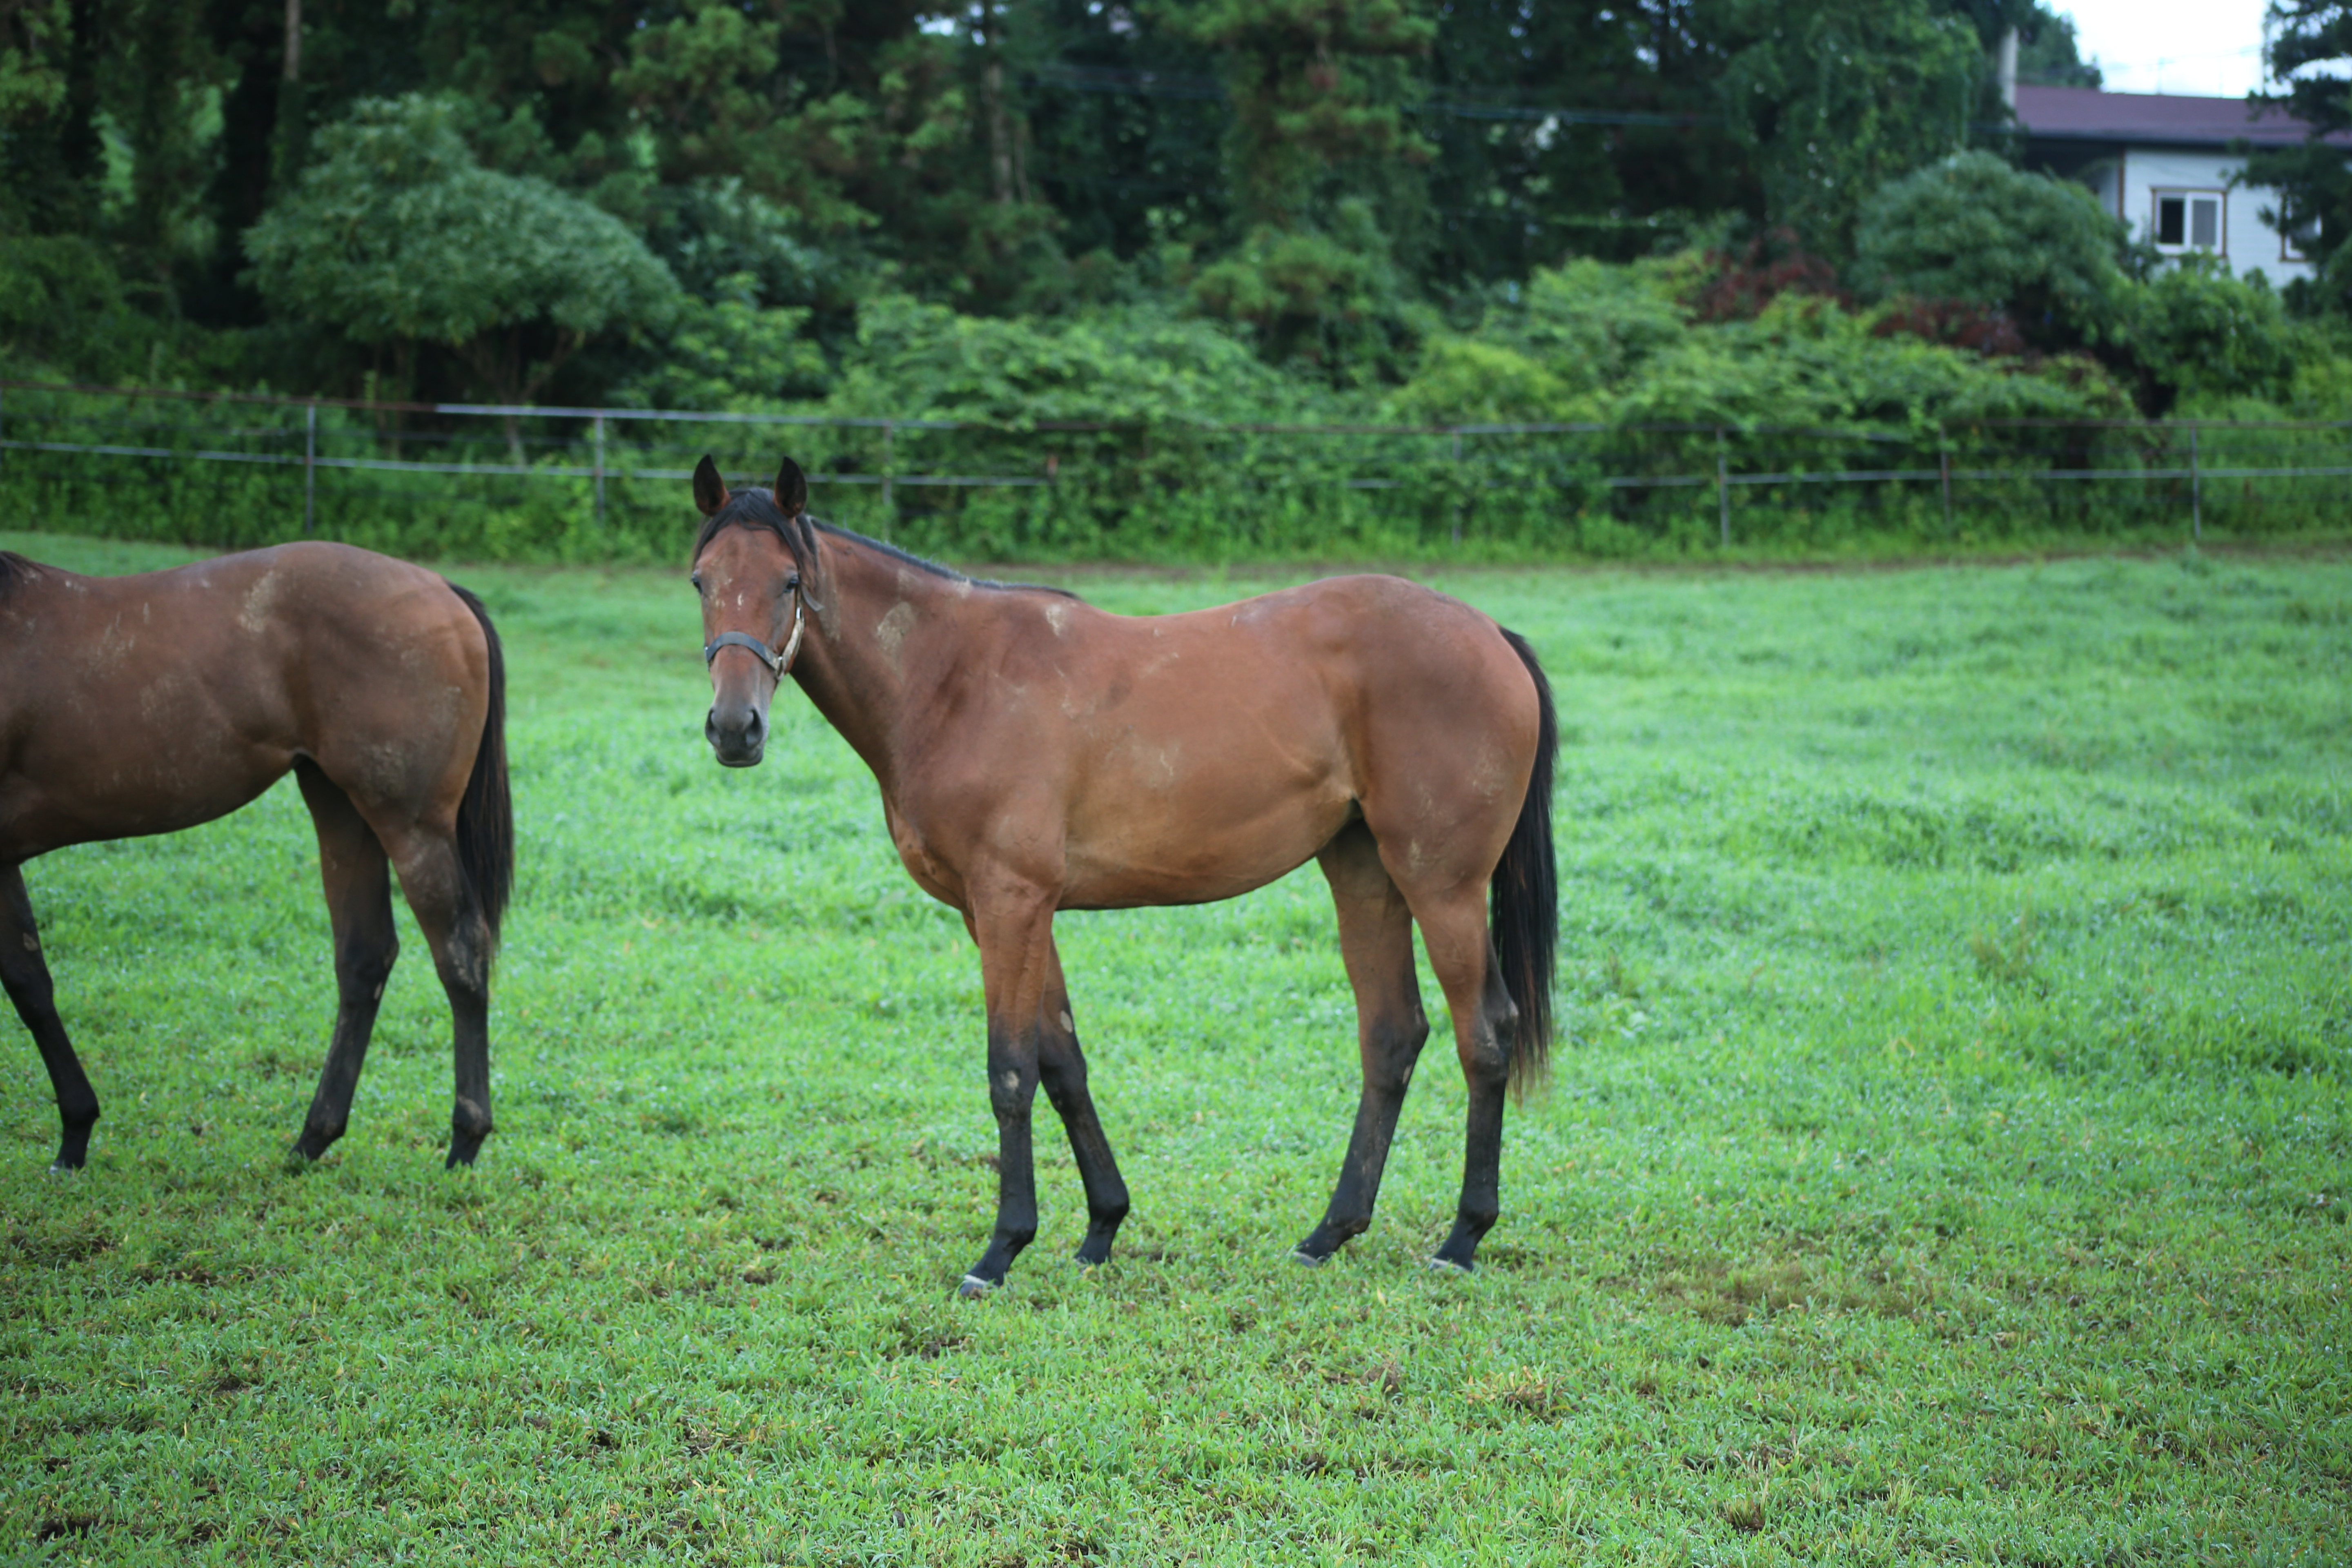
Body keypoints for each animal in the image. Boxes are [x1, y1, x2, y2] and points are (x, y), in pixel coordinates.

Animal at [1, 545, 515, 1171]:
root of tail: (442, 588)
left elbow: (28, 987)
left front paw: (75, 1134)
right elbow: (30, 983)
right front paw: (76, 1132)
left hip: (411, 827)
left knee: (460, 955)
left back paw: (464, 1138)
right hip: (342, 809)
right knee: (365, 958)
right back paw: (313, 1138)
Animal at [686, 461, 1561, 1297]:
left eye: (789, 582)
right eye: (701, 580)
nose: (735, 729)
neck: (954, 679)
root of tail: (1489, 632)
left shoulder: (1011, 905)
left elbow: (1011, 1071)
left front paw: (1000, 1251)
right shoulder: (1010, 910)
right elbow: (1062, 1065)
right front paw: (1101, 1227)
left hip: (1441, 885)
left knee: (1484, 1034)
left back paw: (1462, 1239)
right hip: (1364, 874)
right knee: (1391, 1036)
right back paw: (1328, 1235)